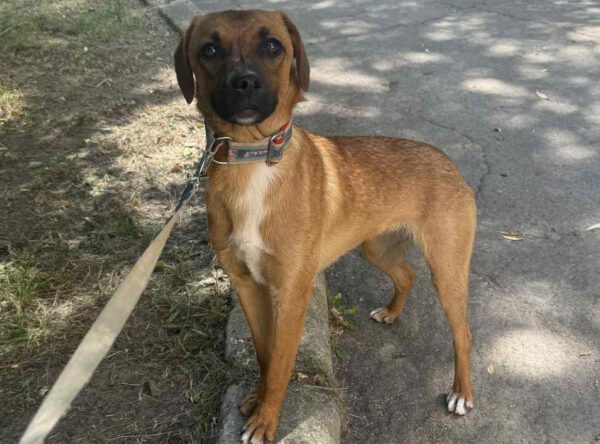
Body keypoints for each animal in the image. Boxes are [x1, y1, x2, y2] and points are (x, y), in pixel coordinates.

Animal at [174, 10, 476, 443]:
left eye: (273, 46)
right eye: (209, 50)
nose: (245, 82)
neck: (253, 161)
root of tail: (448, 162)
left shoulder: (293, 293)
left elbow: (280, 364)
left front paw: (266, 421)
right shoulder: (247, 285)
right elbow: (264, 355)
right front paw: (258, 399)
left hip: (448, 269)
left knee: (463, 333)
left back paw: (461, 393)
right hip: (377, 249)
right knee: (407, 276)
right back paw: (391, 312)